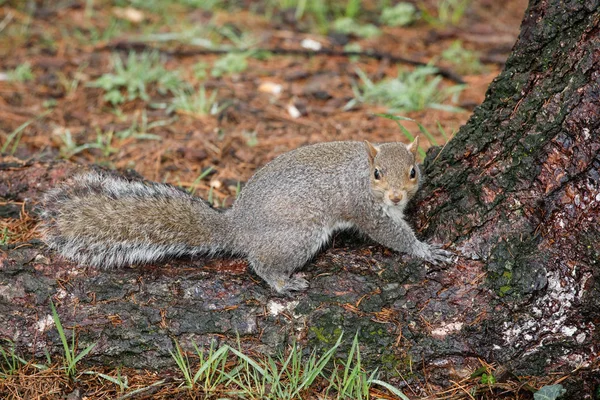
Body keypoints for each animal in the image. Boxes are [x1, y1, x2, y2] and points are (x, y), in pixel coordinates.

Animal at [42, 138, 452, 294]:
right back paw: (283, 282)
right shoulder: (366, 208)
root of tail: (239, 227)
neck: (361, 172)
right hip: (299, 234)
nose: (397, 194)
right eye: (377, 174)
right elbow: (389, 233)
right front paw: (424, 250)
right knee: (261, 263)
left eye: (413, 170)